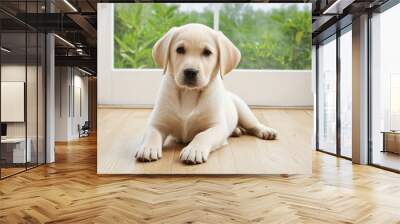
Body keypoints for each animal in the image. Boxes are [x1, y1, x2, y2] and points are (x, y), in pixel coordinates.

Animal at [134, 23, 276, 164]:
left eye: (207, 52)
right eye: (180, 50)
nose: (190, 71)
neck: (189, 93)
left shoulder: (217, 127)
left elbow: (202, 135)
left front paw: (194, 150)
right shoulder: (157, 123)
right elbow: (152, 134)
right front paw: (148, 148)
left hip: (243, 109)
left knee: (253, 124)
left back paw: (265, 130)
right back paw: (236, 130)